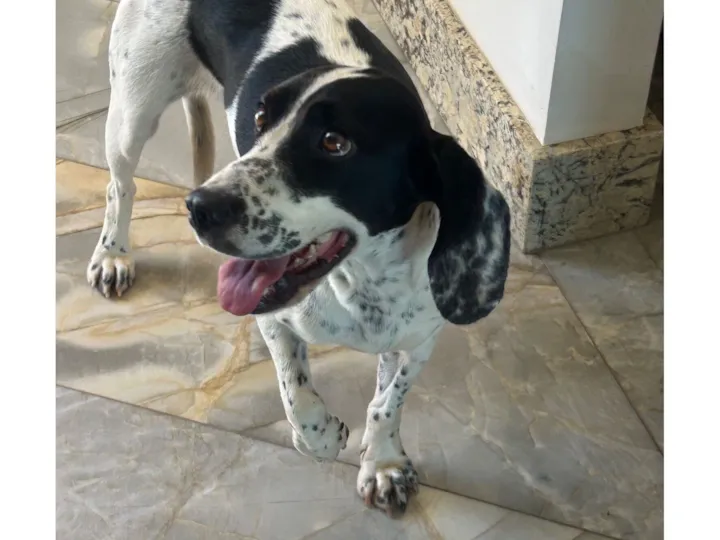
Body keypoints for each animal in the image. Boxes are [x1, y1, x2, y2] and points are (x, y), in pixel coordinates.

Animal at [89, 0, 511, 516]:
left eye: (334, 142)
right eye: (260, 119)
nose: (198, 207)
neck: (362, 286)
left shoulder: (419, 340)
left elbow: (387, 403)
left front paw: (384, 462)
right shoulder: (274, 319)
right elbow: (299, 400)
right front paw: (326, 438)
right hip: (133, 113)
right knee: (120, 185)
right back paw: (113, 254)